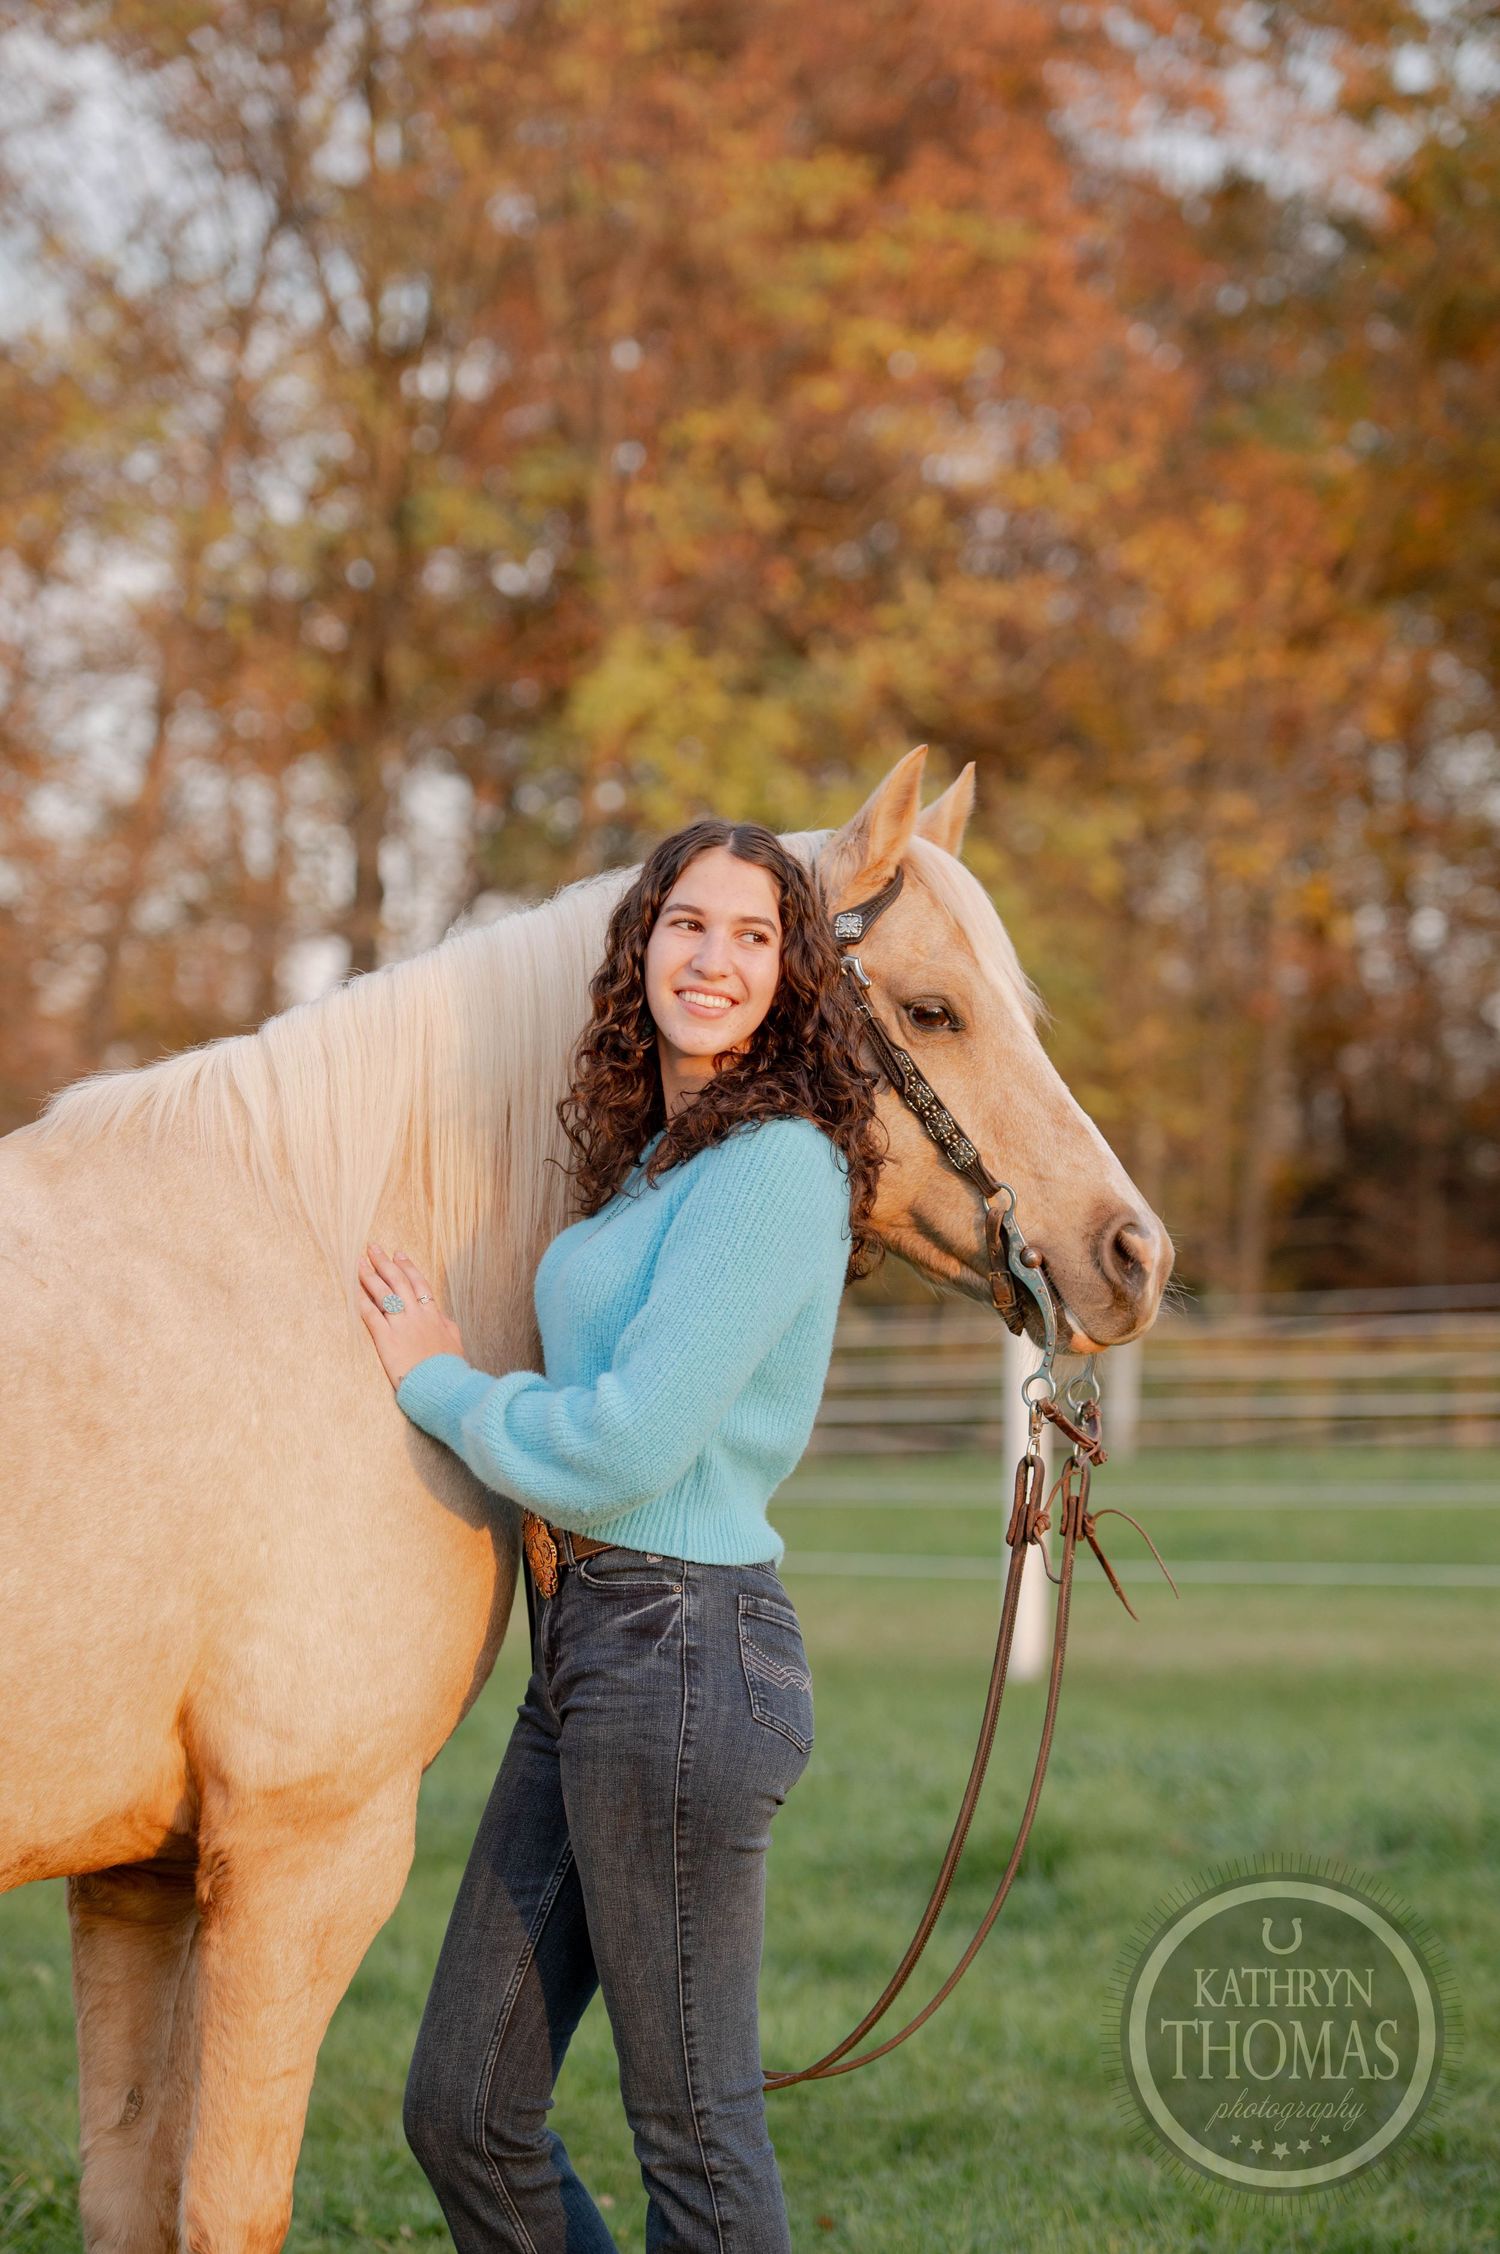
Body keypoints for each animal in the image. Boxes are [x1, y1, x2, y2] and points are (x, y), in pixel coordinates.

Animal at [0, 745, 1172, 2252]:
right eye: (931, 1010)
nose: (1133, 1252)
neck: (311, 1259)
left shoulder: (137, 1875)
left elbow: (135, 2195)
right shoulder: (298, 1850)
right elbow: (228, 2206)